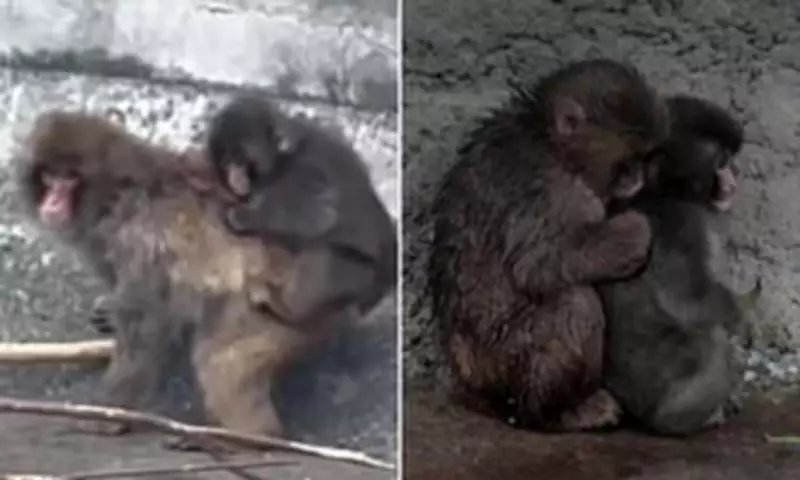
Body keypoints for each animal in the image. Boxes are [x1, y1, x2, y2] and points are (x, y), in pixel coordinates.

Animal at [15, 110, 361, 438]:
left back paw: (254, 439)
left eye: (70, 179)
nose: (52, 202)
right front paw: (108, 313)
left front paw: (107, 414)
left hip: (274, 309)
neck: (115, 196)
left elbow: (145, 325)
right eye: (49, 176)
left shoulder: (139, 240)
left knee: (221, 364)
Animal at [205, 94, 398, 324]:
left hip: (360, 276)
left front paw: (244, 216)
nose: (234, 174)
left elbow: (316, 215)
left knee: (325, 258)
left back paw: (285, 308)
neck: (286, 157)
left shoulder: (307, 172)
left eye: (241, 159)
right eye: (227, 161)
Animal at [426, 59, 670, 431]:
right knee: (574, 303)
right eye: (627, 162)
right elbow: (537, 263)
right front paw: (632, 234)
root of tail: (470, 379)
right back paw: (558, 412)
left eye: (646, 158)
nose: (639, 180)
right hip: (507, 356)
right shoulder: (553, 193)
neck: (551, 143)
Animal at [597, 94, 746, 436]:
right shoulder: (680, 224)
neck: (666, 191)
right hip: (661, 396)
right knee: (711, 340)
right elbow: (688, 299)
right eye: (721, 161)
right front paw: (741, 315)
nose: (733, 174)